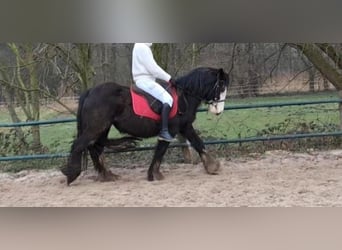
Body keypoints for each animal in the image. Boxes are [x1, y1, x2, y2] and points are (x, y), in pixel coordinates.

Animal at [61, 67, 230, 185]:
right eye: (221, 87)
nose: (218, 111)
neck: (184, 97)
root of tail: (90, 91)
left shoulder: (185, 127)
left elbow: (198, 143)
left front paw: (212, 166)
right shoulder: (171, 130)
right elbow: (161, 150)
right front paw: (154, 174)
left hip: (103, 127)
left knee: (95, 146)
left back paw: (108, 173)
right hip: (96, 127)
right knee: (81, 145)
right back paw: (73, 174)